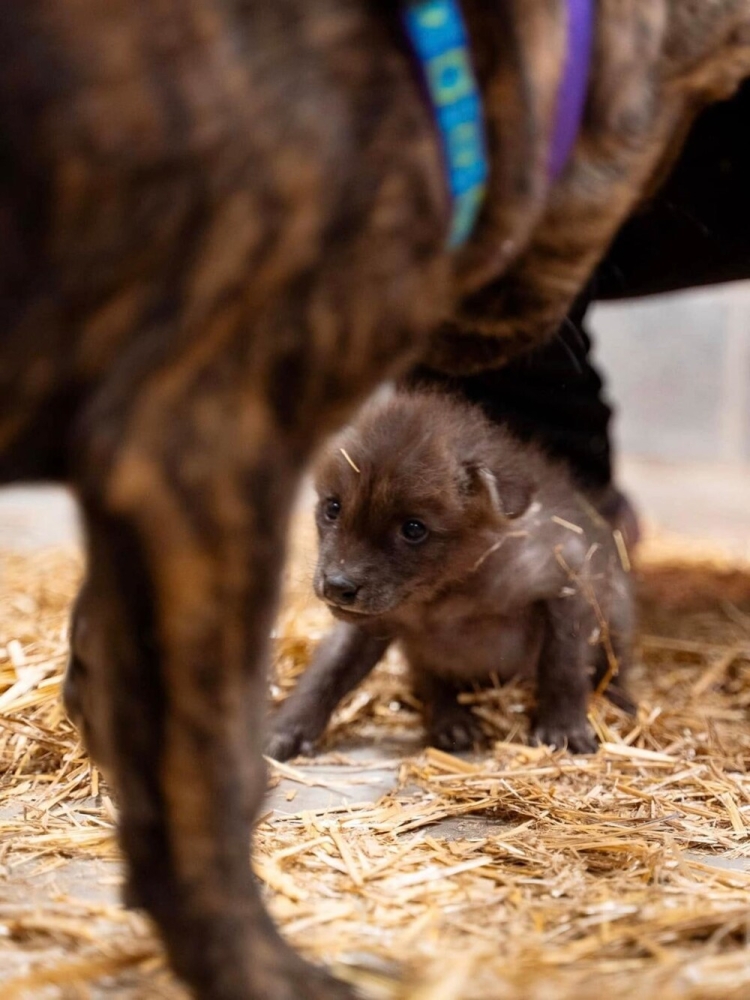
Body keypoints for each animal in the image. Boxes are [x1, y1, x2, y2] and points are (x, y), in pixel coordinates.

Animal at [4, 1, 750, 1000]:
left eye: (414, 528)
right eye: (329, 511)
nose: (336, 585)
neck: (454, 592)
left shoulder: (559, 586)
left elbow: (559, 663)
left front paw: (561, 727)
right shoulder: (353, 607)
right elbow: (318, 677)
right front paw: (285, 729)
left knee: (615, 658)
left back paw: (614, 704)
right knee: (432, 689)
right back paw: (453, 722)